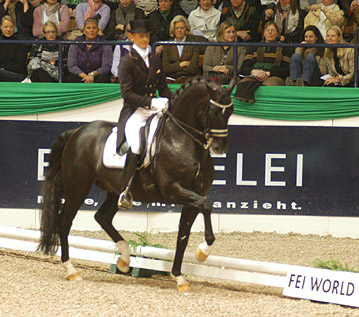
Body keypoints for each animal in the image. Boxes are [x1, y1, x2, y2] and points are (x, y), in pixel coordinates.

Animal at [38, 77, 236, 292]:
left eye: (231, 111)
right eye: (214, 111)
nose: (220, 148)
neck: (181, 140)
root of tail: (76, 131)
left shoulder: (194, 196)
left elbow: (183, 235)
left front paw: (179, 277)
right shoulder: (173, 191)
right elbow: (205, 206)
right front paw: (203, 252)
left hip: (114, 191)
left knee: (102, 217)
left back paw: (124, 260)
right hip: (78, 188)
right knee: (64, 221)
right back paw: (71, 270)